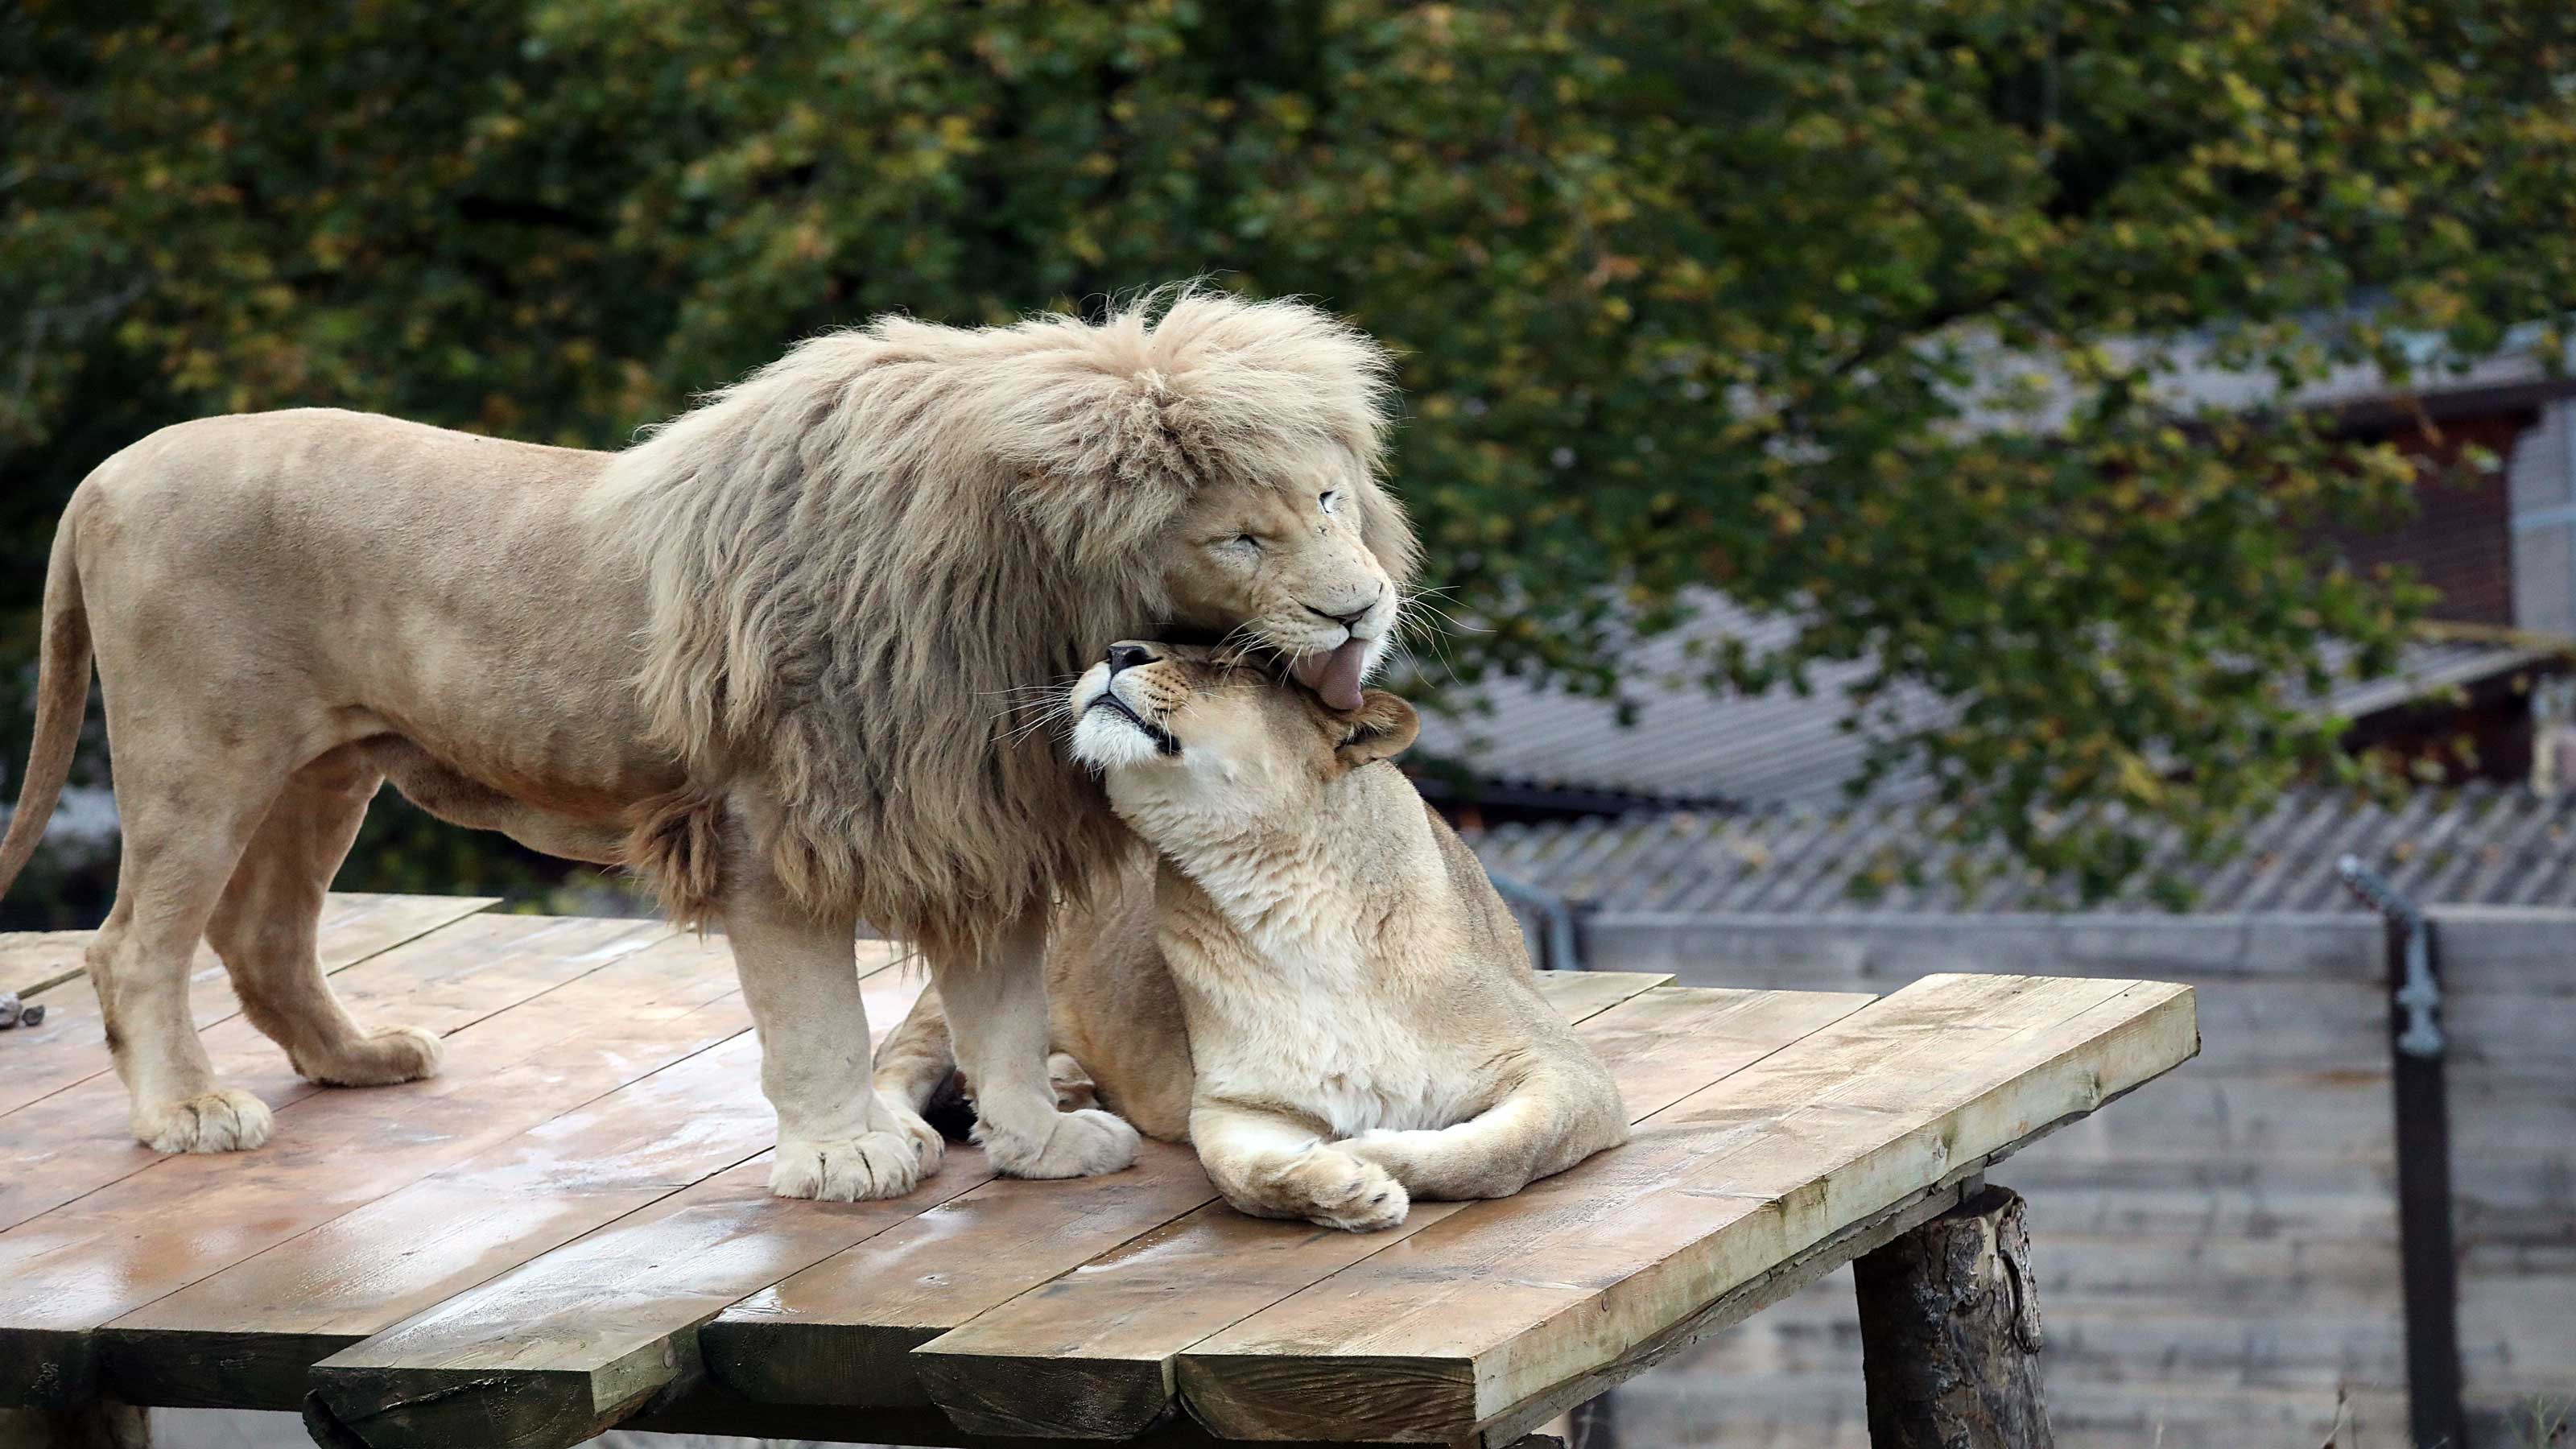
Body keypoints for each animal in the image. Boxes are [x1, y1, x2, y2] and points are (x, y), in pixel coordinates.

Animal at [0, 291, 1416, 1202]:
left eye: (1328, 499)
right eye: (1240, 536)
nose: (1362, 609)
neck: (1018, 610)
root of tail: (104, 474)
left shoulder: (974, 823)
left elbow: (1004, 1017)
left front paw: (1037, 1145)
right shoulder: (773, 825)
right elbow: (817, 1021)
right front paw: (848, 1159)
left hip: (325, 768)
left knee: (261, 935)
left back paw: (359, 1062)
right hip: (204, 754)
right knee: (135, 946)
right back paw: (187, 1114)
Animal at [875, 642, 1629, 1231]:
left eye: (1232, 664)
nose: (1117, 651)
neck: (1279, 887)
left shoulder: (1569, 1072)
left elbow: (1499, 1152)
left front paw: (1369, 1152)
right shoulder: (1238, 1101)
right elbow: (1242, 1176)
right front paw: (1344, 1182)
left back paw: (1063, 1088)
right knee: (896, 1060)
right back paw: (899, 1138)